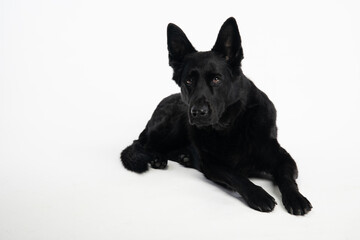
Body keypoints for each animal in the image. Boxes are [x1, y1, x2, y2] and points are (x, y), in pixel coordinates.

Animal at [121, 17, 312, 216]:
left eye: (216, 79)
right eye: (188, 81)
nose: (198, 112)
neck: (231, 125)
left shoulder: (283, 158)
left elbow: (286, 177)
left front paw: (296, 198)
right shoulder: (212, 165)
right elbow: (236, 175)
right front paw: (259, 195)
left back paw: (182, 156)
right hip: (170, 126)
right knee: (141, 143)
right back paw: (158, 158)